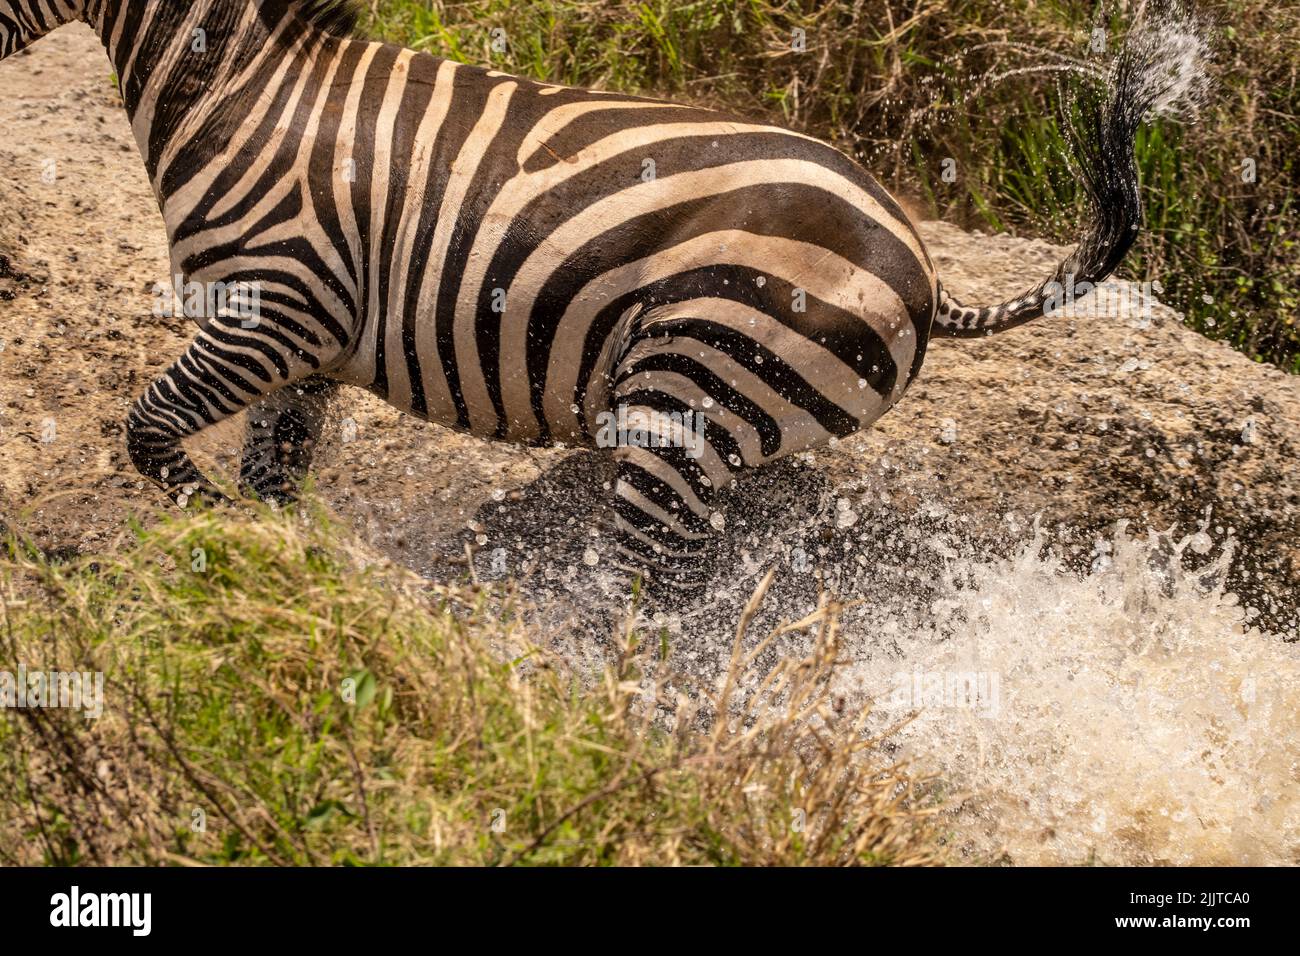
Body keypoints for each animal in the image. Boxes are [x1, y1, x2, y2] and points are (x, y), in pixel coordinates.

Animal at [0, 0, 1171, 588]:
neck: (241, 92)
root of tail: (923, 266)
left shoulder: (274, 308)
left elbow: (149, 433)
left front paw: (221, 551)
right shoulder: (309, 353)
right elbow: (270, 478)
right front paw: (284, 577)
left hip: (688, 396)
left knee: (654, 604)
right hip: (737, 424)